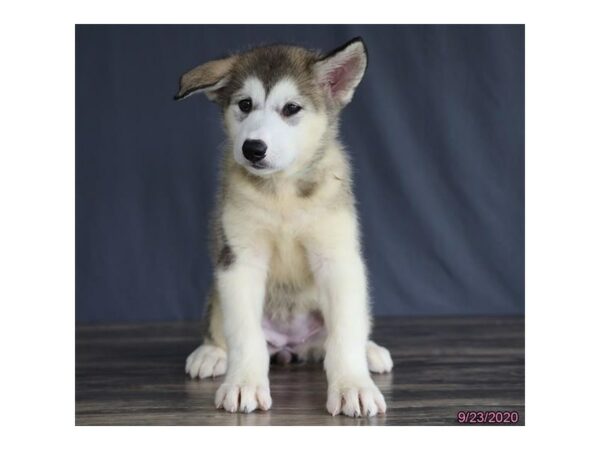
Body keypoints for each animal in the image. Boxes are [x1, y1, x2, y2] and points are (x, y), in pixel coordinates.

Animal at [177, 37, 394, 416]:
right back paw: (212, 352)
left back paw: (370, 350)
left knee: (349, 330)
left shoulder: (337, 259)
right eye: (245, 105)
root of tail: (291, 345)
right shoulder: (239, 261)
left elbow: (345, 335)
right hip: (218, 289)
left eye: (291, 108)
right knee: (222, 327)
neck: (283, 194)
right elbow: (244, 335)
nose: (253, 149)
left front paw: (353, 386)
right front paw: (244, 384)